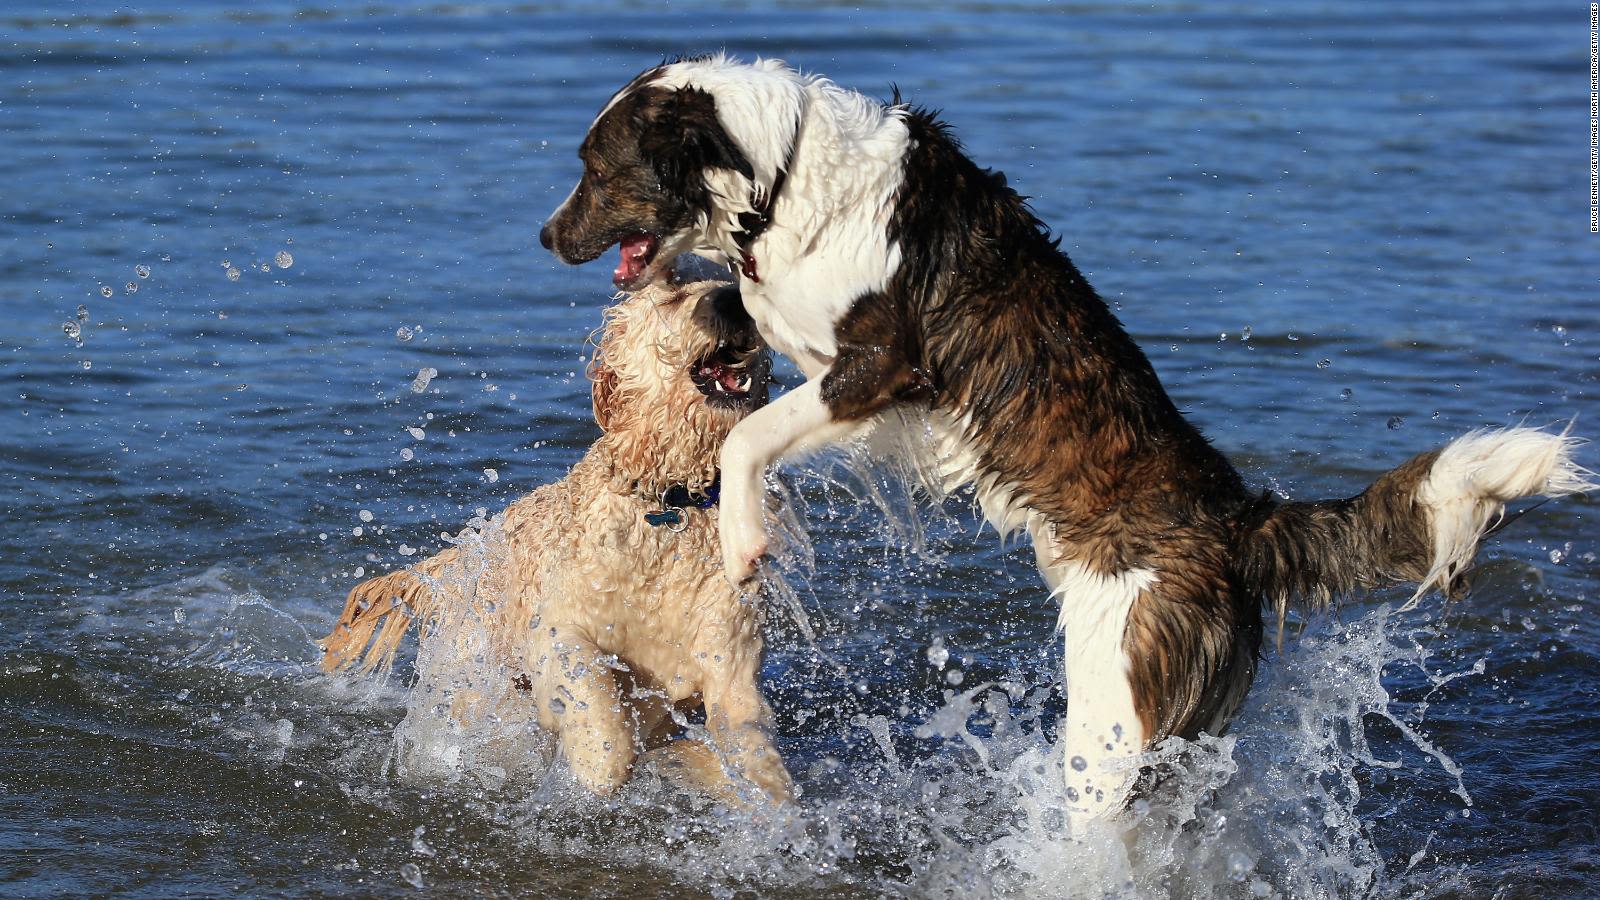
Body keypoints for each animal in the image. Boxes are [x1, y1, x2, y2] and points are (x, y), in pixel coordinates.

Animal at [318, 278, 793, 797]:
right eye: (672, 294)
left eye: (733, 277)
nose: (734, 303)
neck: (670, 506)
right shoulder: (561, 627)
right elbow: (600, 719)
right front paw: (599, 762)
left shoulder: (731, 653)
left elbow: (753, 750)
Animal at [537, 54, 1587, 819]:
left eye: (595, 169)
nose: (545, 239)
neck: (781, 176)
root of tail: (1235, 521)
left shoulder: (878, 364)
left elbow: (744, 436)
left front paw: (743, 540)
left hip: (1114, 718)